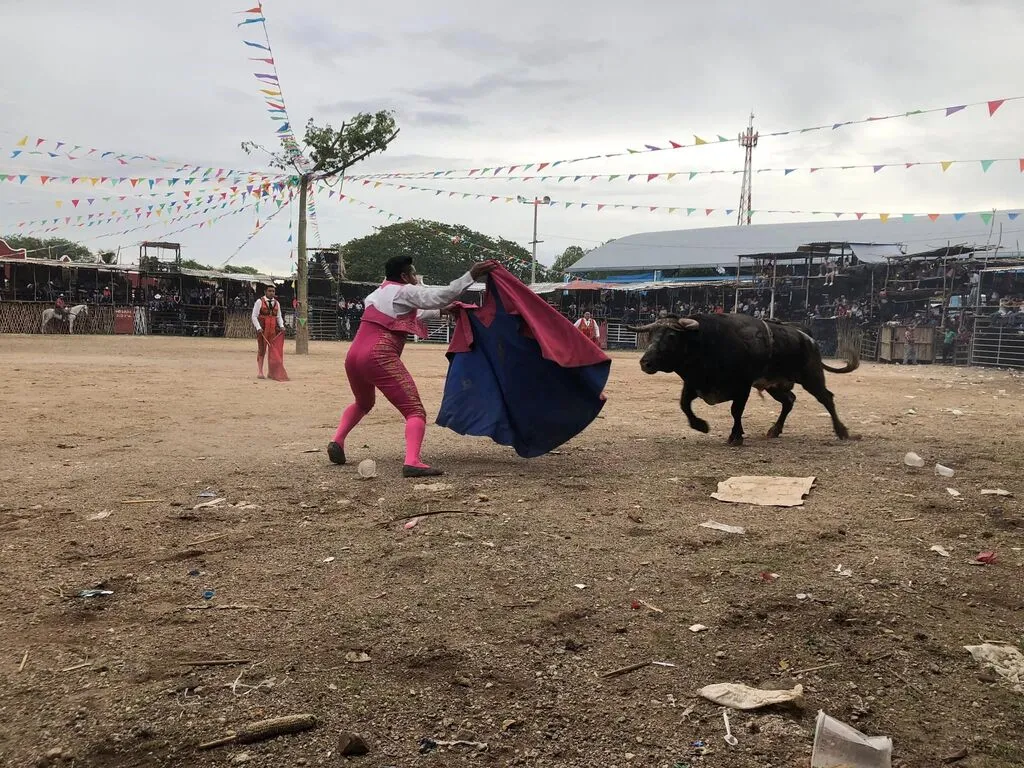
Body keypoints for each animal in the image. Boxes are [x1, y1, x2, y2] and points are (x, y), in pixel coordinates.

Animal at [626, 311, 860, 444]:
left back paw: (841, 431)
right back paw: (775, 430)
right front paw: (701, 425)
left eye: (672, 336)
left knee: (826, 398)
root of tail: (807, 336)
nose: (645, 362)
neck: (706, 344)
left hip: (811, 376)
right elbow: (684, 405)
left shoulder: (742, 386)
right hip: (775, 385)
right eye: (650, 335)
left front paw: (735, 436)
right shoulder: (694, 383)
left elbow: (735, 411)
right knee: (789, 401)